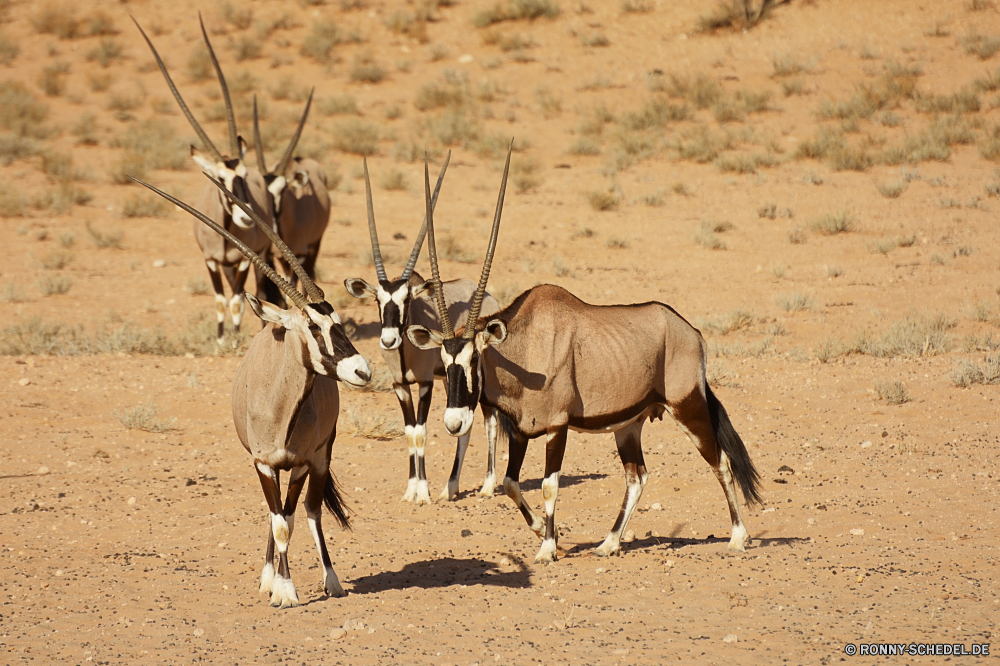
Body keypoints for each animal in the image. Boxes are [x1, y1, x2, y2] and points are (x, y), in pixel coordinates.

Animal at [131, 172, 370, 608]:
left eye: (339, 322)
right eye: (313, 327)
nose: (362, 371)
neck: (279, 404)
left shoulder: (301, 462)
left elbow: (291, 518)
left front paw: (287, 588)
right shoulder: (263, 463)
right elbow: (278, 523)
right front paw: (281, 588)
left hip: (322, 456)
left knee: (309, 510)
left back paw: (331, 580)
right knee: (277, 514)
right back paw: (268, 576)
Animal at [133, 16, 280, 342]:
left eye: (243, 176)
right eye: (219, 179)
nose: (246, 219)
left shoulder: (245, 259)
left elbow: (238, 301)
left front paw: (235, 339)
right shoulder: (211, 260)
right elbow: (220, 300)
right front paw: (221, 338)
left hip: (260, 254)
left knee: (261, 292)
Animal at [250, 92, 332, 296]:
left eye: (283, 191)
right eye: (262, 192)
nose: (270, 223)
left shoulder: (300, 256)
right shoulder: (273, 255)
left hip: (314, 245)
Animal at [344, 153, 500, 500]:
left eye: (406, 300)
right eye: (377, 301)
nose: (389, 340)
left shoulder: (426, 383)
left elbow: (422, 431)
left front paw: (423, 493)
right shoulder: (401, 386)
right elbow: (409, 432)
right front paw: (411, 490)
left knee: (489, 422)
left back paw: (486, 485)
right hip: (450, 379)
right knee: (465, 427)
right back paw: (451, 488)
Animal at [402, 144, 760, 560]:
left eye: (474, 360)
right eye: (445, 363)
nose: (455, 422)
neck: (525, 349)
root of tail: (692, 333)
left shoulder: (557, 427)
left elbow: (548, 485)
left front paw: (547, 548)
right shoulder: (522, 432)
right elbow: (509, 483)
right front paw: (545, 531)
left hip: (687, 408)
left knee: (720, 461)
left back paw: (738, 537)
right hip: (629, 425)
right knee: (637, 476)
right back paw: (609, 543)